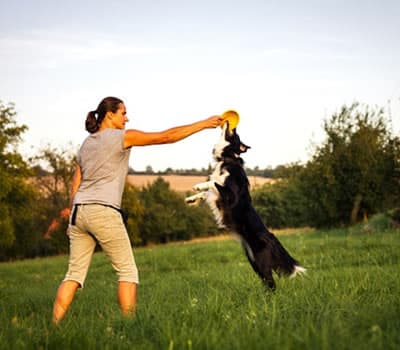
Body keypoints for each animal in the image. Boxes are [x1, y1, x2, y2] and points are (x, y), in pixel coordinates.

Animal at [186, 122, 304, 290]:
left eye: (235, 134)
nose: (231, 124)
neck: (228, 157)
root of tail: (271, 237)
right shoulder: (217, 195)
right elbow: (208, 192)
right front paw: (191, 199)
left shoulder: (230, 194)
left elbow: (213, 183)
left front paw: (199, 185)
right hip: (253, 261)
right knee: (267, 282)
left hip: (261, 261)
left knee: (271, 283)